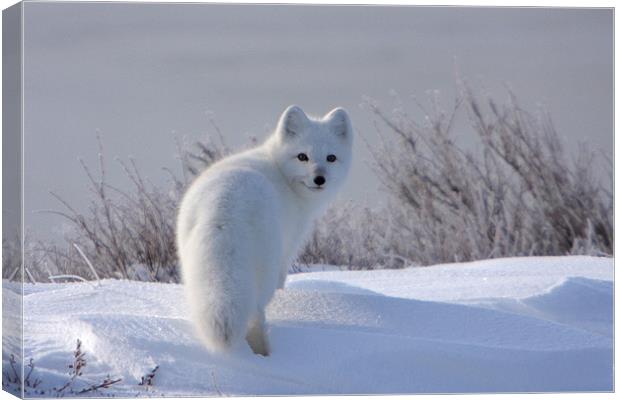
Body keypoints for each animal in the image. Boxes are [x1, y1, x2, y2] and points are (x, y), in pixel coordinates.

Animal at [177, 105, 352, 356]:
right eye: (302, 156)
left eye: (331, 158)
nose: (319, 179)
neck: (279, 169)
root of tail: (223, 208)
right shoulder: (288, 248)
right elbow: (282, 282)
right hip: (266, 266)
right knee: (256, 313)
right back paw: (264, 352)